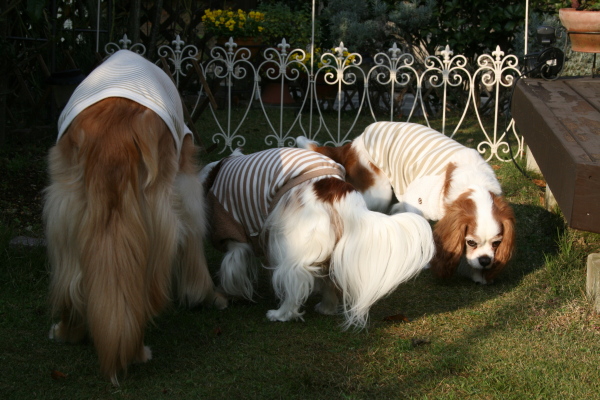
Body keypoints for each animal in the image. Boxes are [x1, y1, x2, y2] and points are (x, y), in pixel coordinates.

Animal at [42, 50, 225, 384]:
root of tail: (113, 133)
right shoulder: (186, 178)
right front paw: (204, 296)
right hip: (157, 212)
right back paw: (139, 352)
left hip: (64, 206)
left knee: (72, 283)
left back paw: (68, 332)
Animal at [199, 147, 434, 328]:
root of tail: (338, 189)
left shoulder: (234, 238)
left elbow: (231, 269)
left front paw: (225, 296)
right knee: (329, 277)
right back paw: (326, 307)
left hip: (292, 241)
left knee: (295, 281)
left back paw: (280, 314)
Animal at [298, 122, 512, 284]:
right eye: (471, 242)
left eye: (497, 243)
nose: (485, 261)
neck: (474, 182)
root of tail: (352, 144)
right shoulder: (416, 201)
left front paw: (479, 275)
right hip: (379, 192)